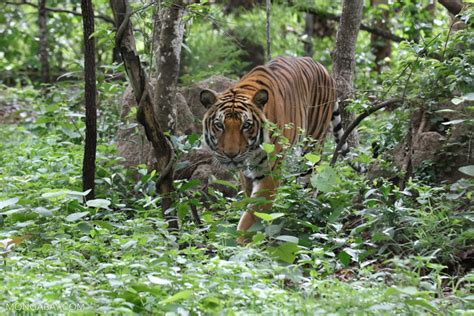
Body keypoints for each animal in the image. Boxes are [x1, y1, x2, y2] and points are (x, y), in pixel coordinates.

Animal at [200, 56, 360, 235]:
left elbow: (252, 217)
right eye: (219, 125)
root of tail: (321, 66)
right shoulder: (245, 174)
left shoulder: (269, 174)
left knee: (309, 186)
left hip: (312, 147)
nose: (231, 154)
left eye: (246, 125)